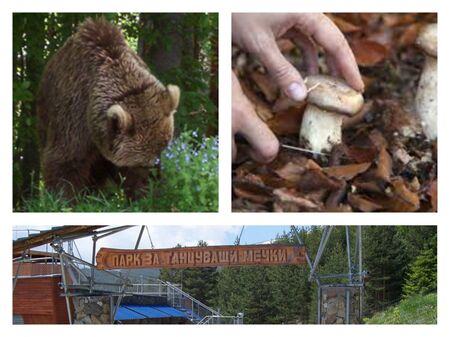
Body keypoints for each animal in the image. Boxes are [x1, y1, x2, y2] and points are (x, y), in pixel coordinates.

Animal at [36, 18, 179, 200]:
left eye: (161, 151)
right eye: (139, 163)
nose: (150, 181)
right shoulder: (74, 114)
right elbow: (65, 161)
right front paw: (63, 197)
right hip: (45, 114)